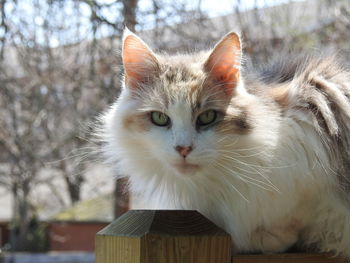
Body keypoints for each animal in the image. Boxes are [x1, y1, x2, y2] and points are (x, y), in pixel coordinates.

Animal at [99, 28, 350, 260]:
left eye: (207, 117)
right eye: (159, 118)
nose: (183, 149)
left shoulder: (312, 123)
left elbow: (296, 212)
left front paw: (266, 237)